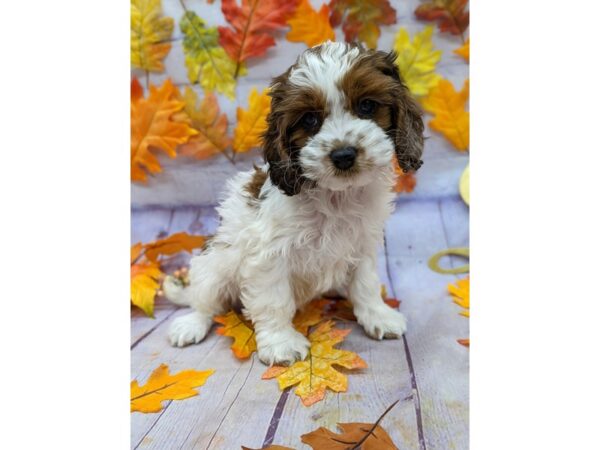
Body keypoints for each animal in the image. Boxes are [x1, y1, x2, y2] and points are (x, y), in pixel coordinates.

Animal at [164, 42, 424, 366]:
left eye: (366, 106)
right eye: (310, 119)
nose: (343, 155)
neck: (335, 195)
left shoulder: (362, 244)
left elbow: (365, 283)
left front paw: (377, 315)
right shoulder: (269, 255)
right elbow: (274, 301)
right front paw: (281, 343)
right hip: (214, 266)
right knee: (205, 301)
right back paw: (191, 324)